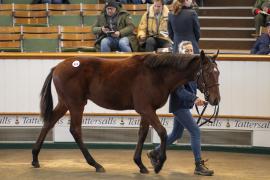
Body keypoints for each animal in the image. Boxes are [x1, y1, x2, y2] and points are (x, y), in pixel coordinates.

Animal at [32, 50, 219, 174]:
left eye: (218, 73)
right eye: (208, 73)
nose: (215, 100)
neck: (156, 74)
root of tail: (57, 66)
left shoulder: (147, 110)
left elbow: (142, 134)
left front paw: (141, 164)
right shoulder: (146, 109)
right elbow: (162, 132)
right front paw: (158, 164)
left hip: (65, 103)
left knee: (49, 122)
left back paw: (35, 158)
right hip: (76, 104)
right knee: (75, 130)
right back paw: (96, 164)